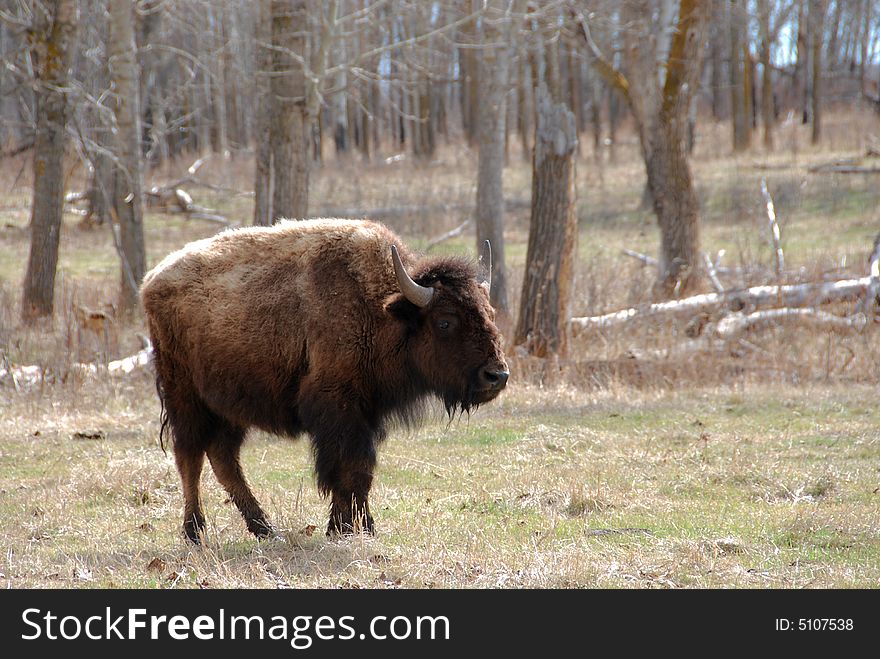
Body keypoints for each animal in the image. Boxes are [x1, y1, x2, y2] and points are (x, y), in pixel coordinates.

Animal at [139, 219, 508, 544]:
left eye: (489, 314)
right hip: (184, 394)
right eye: (445, 321)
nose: (497, 375)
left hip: (229, 404)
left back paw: (265, 530)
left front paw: (353, 527)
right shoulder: (338, 407)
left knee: (222, 457)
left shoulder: (365, 413)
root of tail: (151, 281)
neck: (380, 309)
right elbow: (348, 468)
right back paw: (195, 532)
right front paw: (350, 528)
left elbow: (360, 469)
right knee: (190, 456)